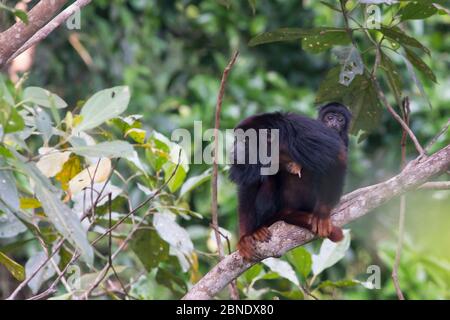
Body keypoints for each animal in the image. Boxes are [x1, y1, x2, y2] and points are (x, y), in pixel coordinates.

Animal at [232, 102, 352, 260]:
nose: (235, 150)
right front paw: (245, 236)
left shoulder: (304, 130)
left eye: (246, 140)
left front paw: (322, 214)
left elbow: (337, 156)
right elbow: (250, 181)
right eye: (239, 140)